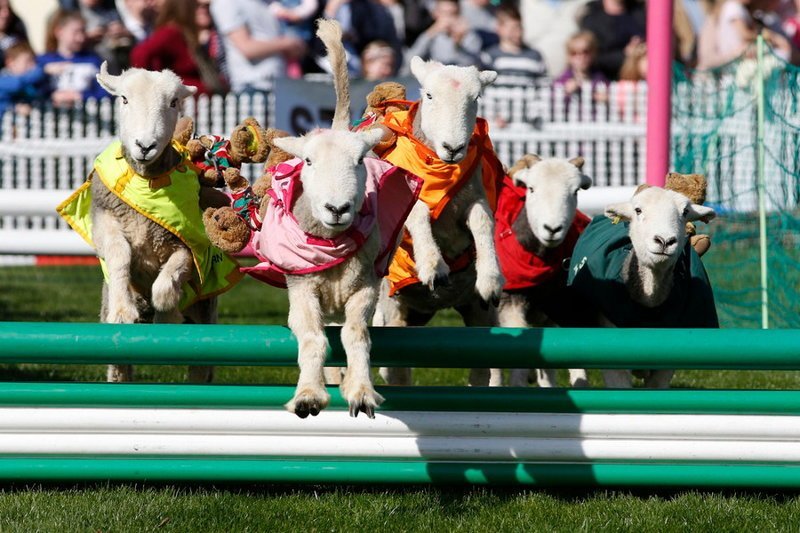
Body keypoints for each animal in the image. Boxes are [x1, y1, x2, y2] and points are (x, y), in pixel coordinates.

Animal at [57, 62, 241, 382]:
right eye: (123, 99)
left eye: (174, 102)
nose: (145, 145)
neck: (146, 183)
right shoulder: (105, 222)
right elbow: (119, 254)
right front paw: (122, 310)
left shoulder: (192, 245)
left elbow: (175, 270)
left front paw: (166, 308)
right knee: (119, 369)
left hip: (206, 315)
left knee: (201, 369)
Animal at [241, 20, 422, 418]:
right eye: (308, 161)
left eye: (359, 161)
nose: (337, 208)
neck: (330, 244)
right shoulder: (302, 288)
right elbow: (312, 338)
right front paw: (309, 395)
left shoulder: (365, 287)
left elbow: (356, 335)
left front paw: (362, 391)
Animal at [370, 57, 506, 386]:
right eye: (429, 95)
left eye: (476, 98)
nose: (453, 147)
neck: (440, 170)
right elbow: (418, 212)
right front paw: (433, 265)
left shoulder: (474, 196)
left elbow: (483, 221)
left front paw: (490, 277)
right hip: (393, 307)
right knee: (395, 371)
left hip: (474, 313)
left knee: (482, 370)